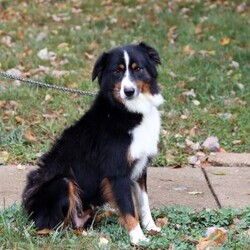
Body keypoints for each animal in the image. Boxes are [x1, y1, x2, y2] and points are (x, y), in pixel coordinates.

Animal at [22, 42, 164, 244]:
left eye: (138, 69)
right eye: (117, 71)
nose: (128, 91)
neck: (127, 111)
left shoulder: (140, 167)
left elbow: (144, 203)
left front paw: (151, 228)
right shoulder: (117, 172)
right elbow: (129, 208)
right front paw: (138, 237)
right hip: (62, 183)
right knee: (51, 225)